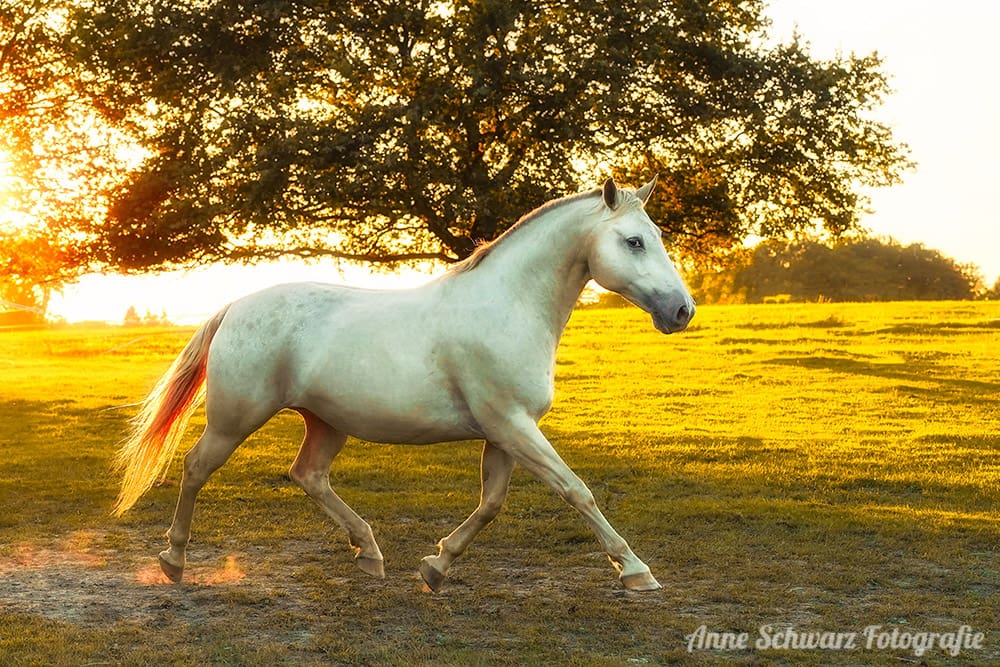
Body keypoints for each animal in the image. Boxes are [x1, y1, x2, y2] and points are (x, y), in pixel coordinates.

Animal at [113, 177, 696, 592]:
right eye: (635, 241)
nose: (682, 310)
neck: (508, 306)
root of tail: (235, 305)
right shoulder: (513, 425)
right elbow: (576, 490)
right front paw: (637, 571)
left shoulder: (504, 432)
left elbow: (491, 504)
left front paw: (436, 566)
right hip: (235, 419)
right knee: (195, 469)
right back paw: (173, 560)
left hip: (326, 423)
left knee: (309, 476)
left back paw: (369, 553)